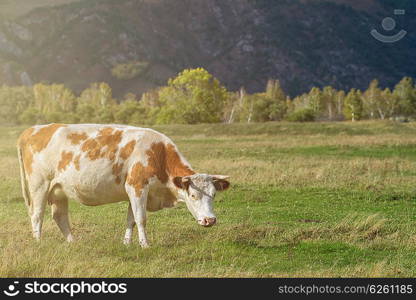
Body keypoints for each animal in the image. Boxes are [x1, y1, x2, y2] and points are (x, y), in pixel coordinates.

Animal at [17, 123, 231, 247]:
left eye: (214, 195)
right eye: (193, 196)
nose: (210, 220)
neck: (158, 153)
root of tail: (32, 129)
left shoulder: (134, 191)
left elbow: (131, 220)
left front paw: (127, 243)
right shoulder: (137, 186)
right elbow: (141, 218)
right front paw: (145, 245)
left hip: (58, 190)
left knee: (59, 216)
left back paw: (73, 242)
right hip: (39, 185)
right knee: (37, 215)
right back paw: (38, 242)